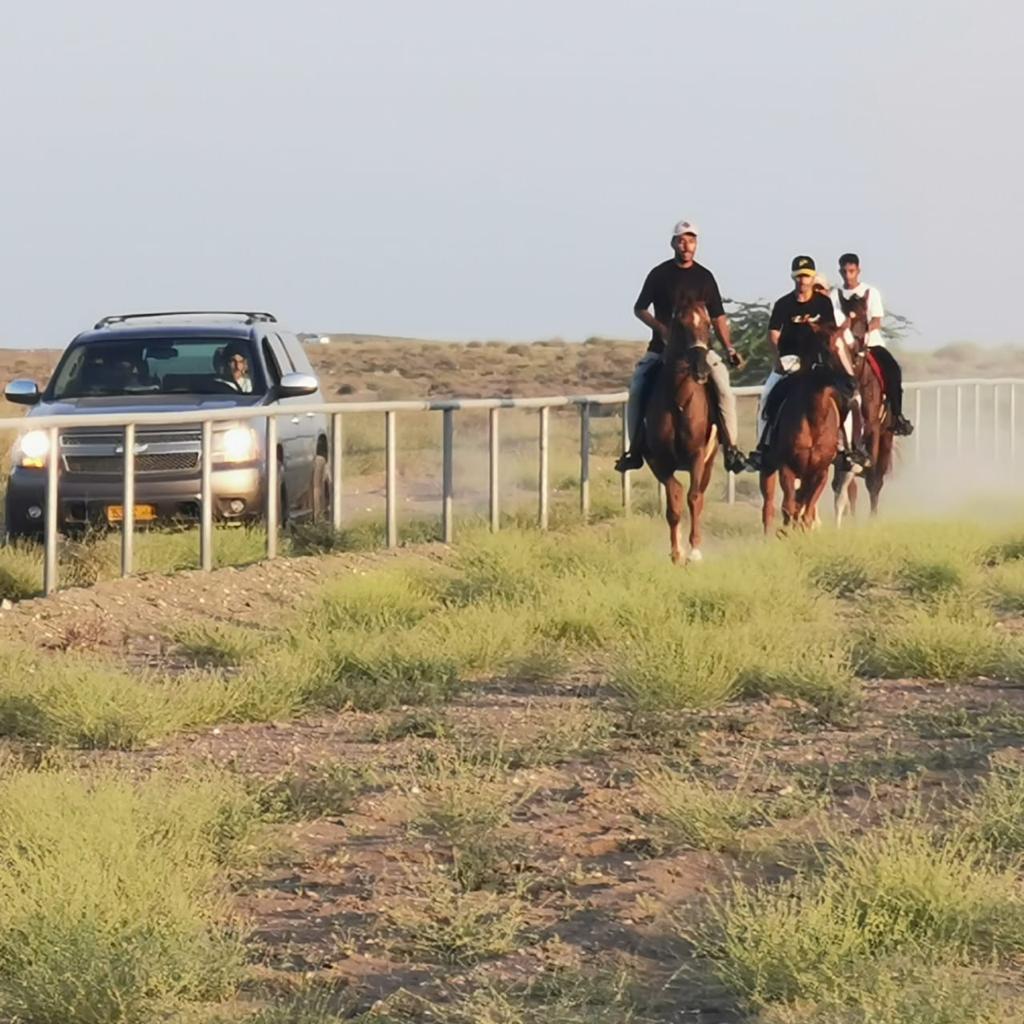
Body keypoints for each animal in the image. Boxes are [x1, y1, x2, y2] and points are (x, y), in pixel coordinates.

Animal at [642, 297, 720, 564]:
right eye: (681, 324)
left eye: (707, 324)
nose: (701, 370)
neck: (678, 400)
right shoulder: (661, 460)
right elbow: (674, 499)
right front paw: (677, 552)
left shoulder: (697, 455)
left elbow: (694, 497)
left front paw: (694, 551)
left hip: (709, 462)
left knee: (701, 495)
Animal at [759, 328, 846, 536]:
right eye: (826, 349)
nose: (851, 382)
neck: (814, 420)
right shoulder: (787, 467)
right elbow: (789, 506)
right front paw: (785, 533)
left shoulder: (820, 471)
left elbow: (806, 509)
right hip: (768, 466)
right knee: (769, 503)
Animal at [832, 292, 895, 524]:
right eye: (843, 320)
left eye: (865, 320)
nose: (855, 342)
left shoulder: (874, 429)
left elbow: (873, 479)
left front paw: (872, 520)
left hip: (886, 437)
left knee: (876, 477)